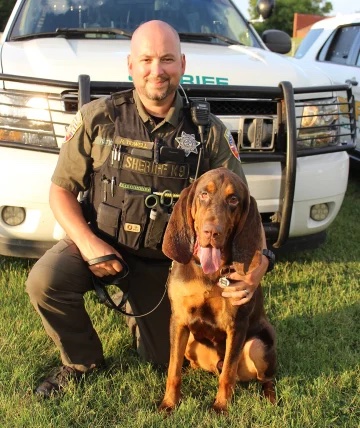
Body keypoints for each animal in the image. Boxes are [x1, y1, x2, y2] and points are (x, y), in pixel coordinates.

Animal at [158, 166, 276, 412]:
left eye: (233, 199)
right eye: (204, 194)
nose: (212, 232)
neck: (209, 274)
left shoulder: (236, 325)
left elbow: (228, 375)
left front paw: (221, 406)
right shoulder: (179, 320)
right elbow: (173, 370)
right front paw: (169, 403)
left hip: (258, 345)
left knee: (265, 378)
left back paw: (270, 397)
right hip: (190, 340)